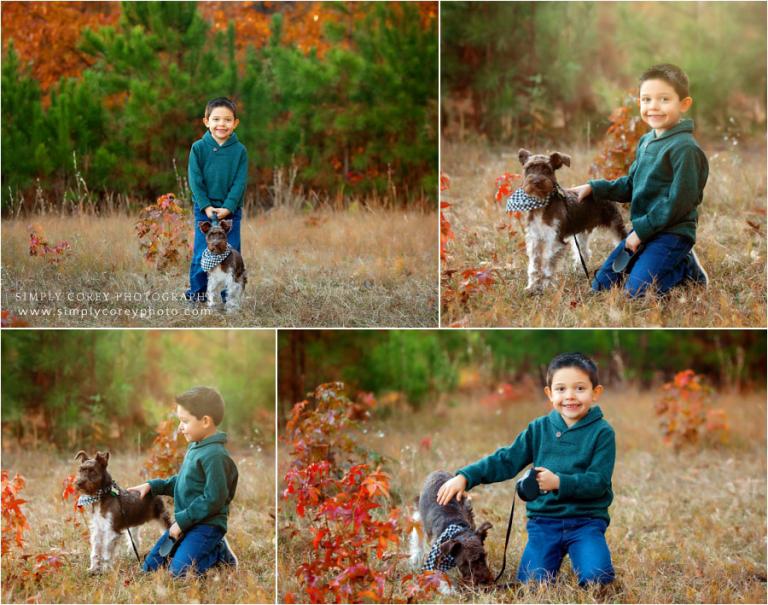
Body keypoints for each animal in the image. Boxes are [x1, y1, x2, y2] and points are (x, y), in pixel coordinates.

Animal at [512, 146, 628, 288]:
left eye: (547, 169)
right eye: (528, 168)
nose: (536, 181)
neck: (541, 204)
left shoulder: (554, 239)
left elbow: (547, 264)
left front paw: (545, 286)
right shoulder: (534, 239)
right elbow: (534, 265)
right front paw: (532, 286)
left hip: (615, 223)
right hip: (580, 232)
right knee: (584, 253)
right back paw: (579, 272)